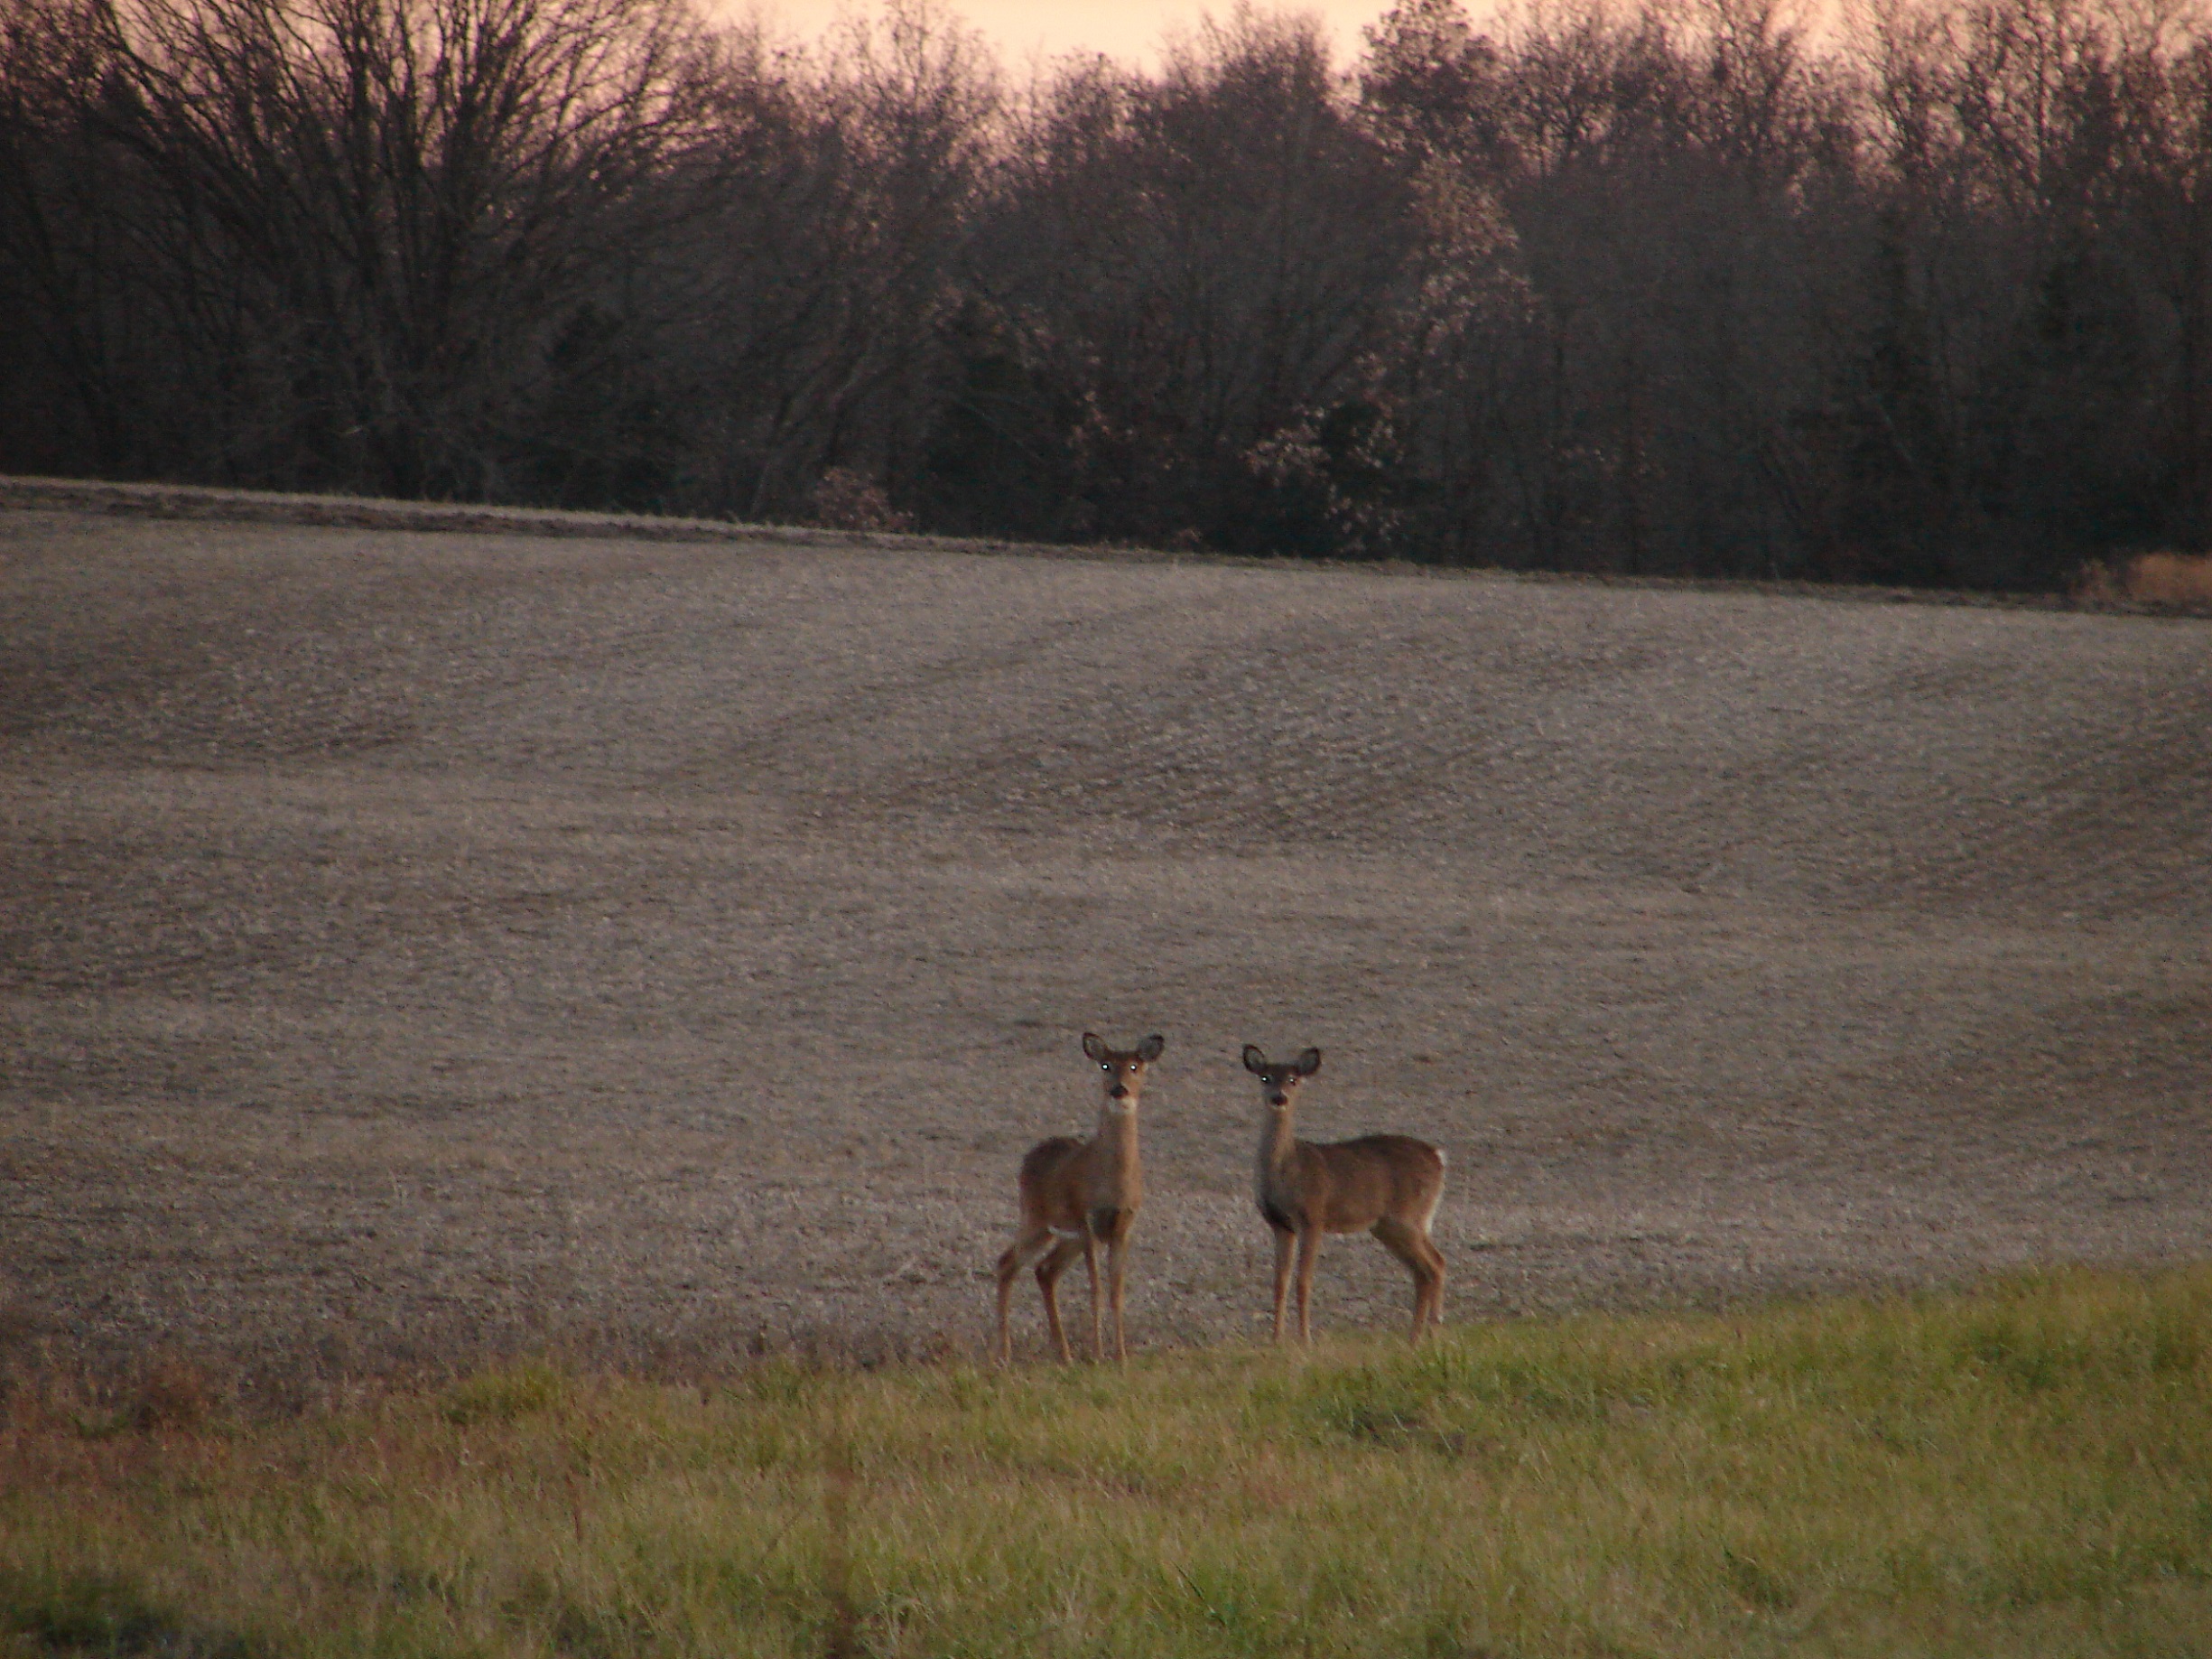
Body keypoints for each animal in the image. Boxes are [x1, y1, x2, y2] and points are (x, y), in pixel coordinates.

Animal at [995, 1035, 1167, 1371]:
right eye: (1105, 1065)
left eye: (1134, 1066)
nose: (1118, 1090)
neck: (1113, 1181)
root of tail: (1030, 1156)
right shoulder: (1088, 1221)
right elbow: (1096, 1289)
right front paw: (1099, 1354)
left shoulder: (1123, 1226)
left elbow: (1116, 1292)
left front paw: (1121, 1356)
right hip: (1036, 1218)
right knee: (1007, 1263)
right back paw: (1004, 1355)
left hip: (1064, 1236)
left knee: (1045, 1270)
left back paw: (1064, 1354)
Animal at [1247, 1052, 1451, 1353]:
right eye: (1265, 1077)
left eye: (1293, 1079)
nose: (1279, 1098)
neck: (1287, 1167)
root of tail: (1438, 1157)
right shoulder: (1280, 1224)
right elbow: (1279, 1282)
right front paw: (1276, 1340)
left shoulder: (1313, 1217)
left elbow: (1303, 1281)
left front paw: (1305, 1340)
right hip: (1387, 1226)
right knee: (1423, 1270)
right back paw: (1415, 1338)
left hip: (1407, 1217)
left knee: (1435, 1264)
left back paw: (1433, 1335)